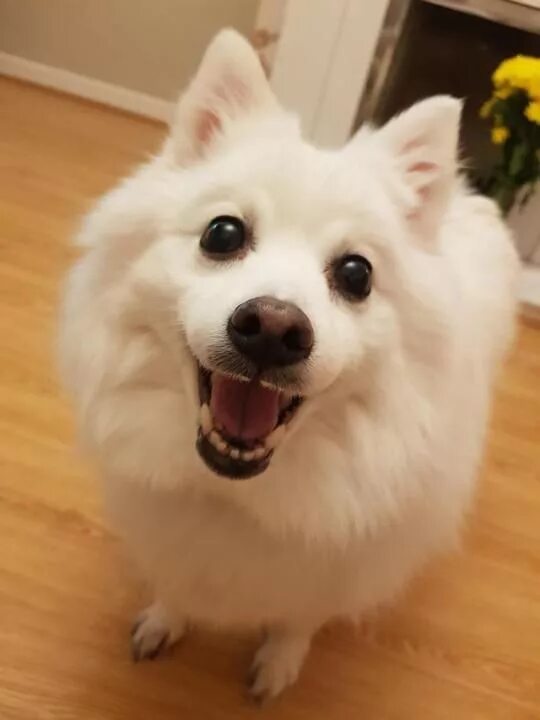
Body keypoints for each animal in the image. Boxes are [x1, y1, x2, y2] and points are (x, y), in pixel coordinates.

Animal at [57, 31, 516, 700]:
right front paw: (166, 619)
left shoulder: (334, 568)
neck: (236, 496)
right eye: (222, 234)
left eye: (356, 274)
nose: (273, 328)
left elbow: (301, 617)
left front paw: (278, 664)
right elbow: (176, 583)